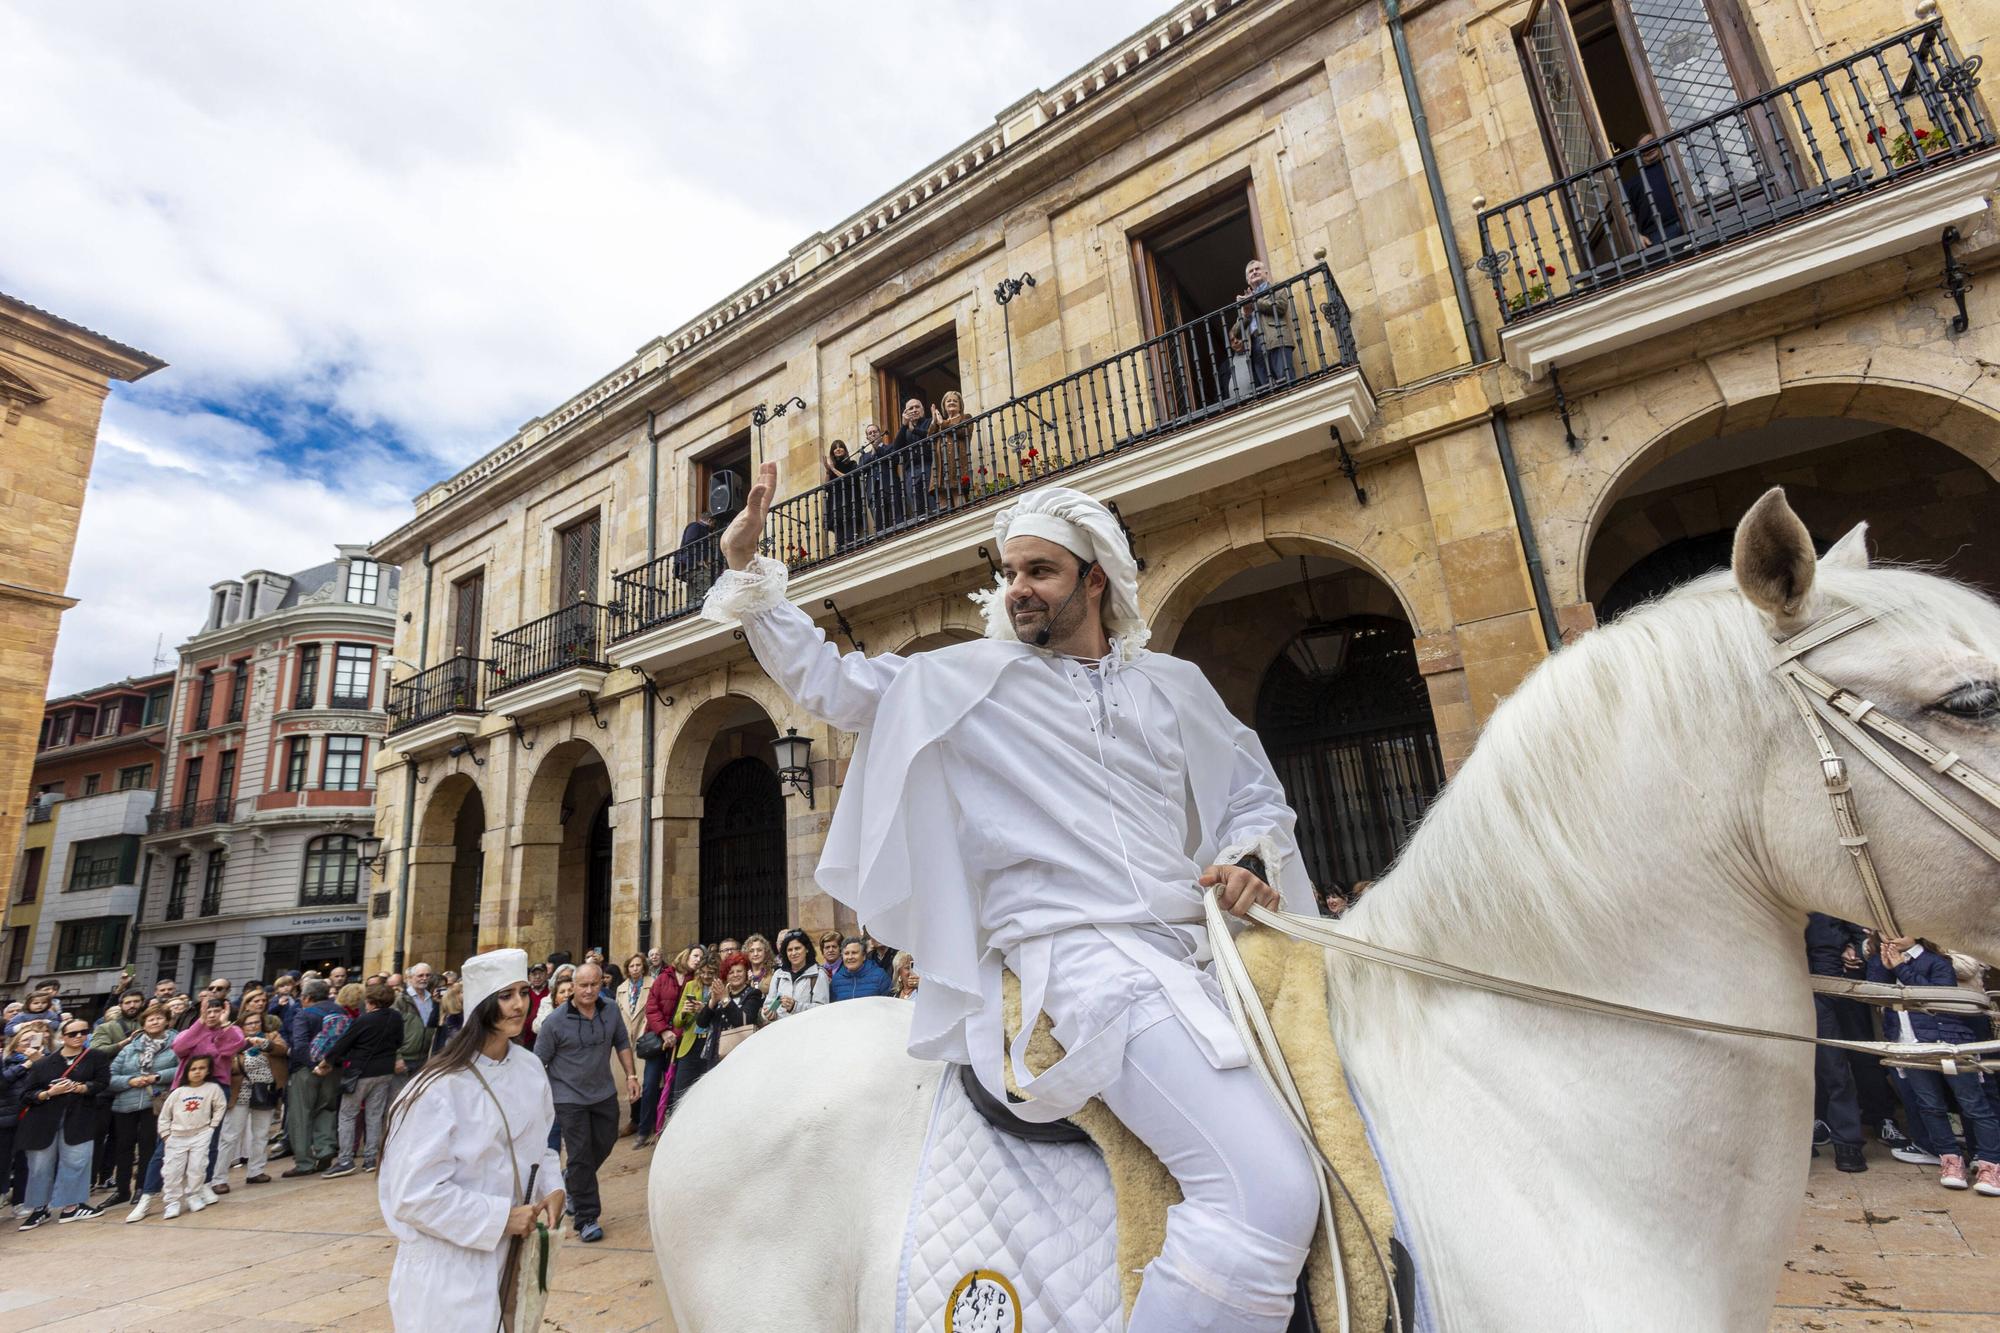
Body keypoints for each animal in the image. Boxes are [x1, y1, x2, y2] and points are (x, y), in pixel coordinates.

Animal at [652, 490, 2000, 1328]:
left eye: (1035, 573)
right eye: (1969, 699)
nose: (1018, 596)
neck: (1537, 1125)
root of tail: (713, 1088)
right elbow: (848, 684)